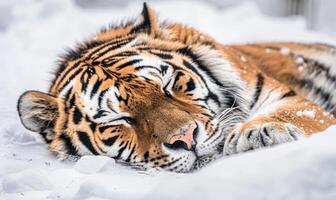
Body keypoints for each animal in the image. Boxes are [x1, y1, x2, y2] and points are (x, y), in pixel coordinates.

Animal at [17, 2, 336, 172]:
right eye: (120, 119)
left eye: (168, 85)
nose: (186, 138)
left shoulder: (286, 96)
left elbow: (294, 112)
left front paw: (259, 133)